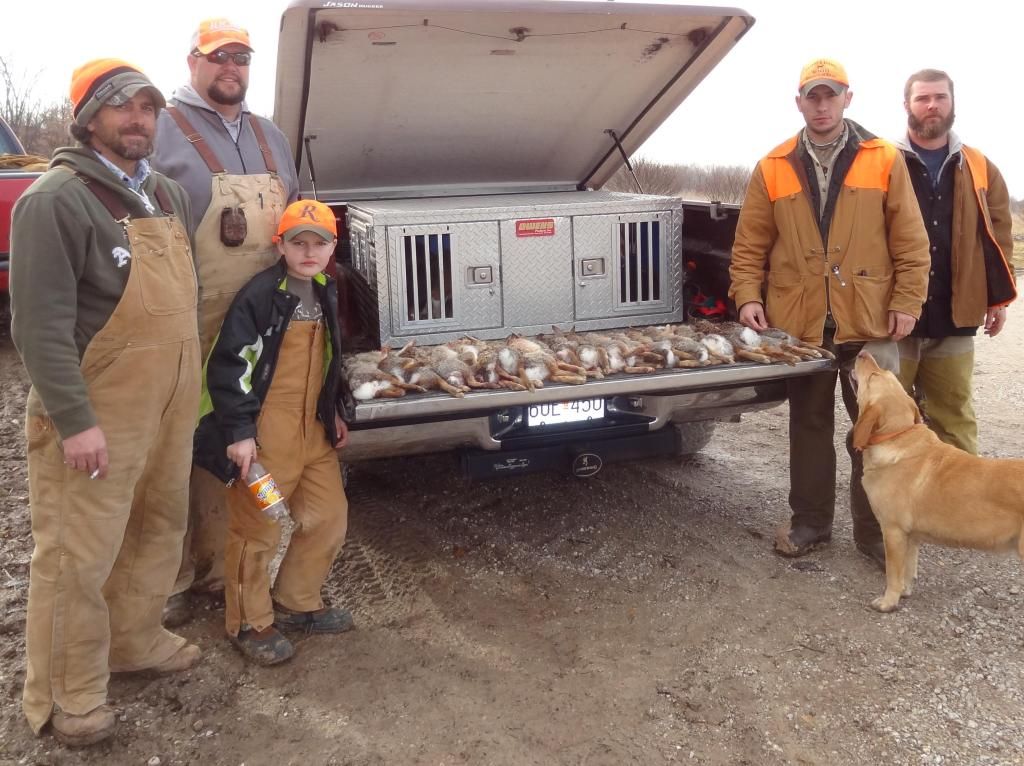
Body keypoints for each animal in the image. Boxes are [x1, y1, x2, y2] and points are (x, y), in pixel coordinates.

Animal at [847, 352, 1024, 610]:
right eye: (885, 373)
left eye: (872, 377)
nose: (862, 353)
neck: (898, 435)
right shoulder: (911, 537)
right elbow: (908, 570)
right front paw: (904, 593)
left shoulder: (893, 531)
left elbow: (893, 573)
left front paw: (888, 602)